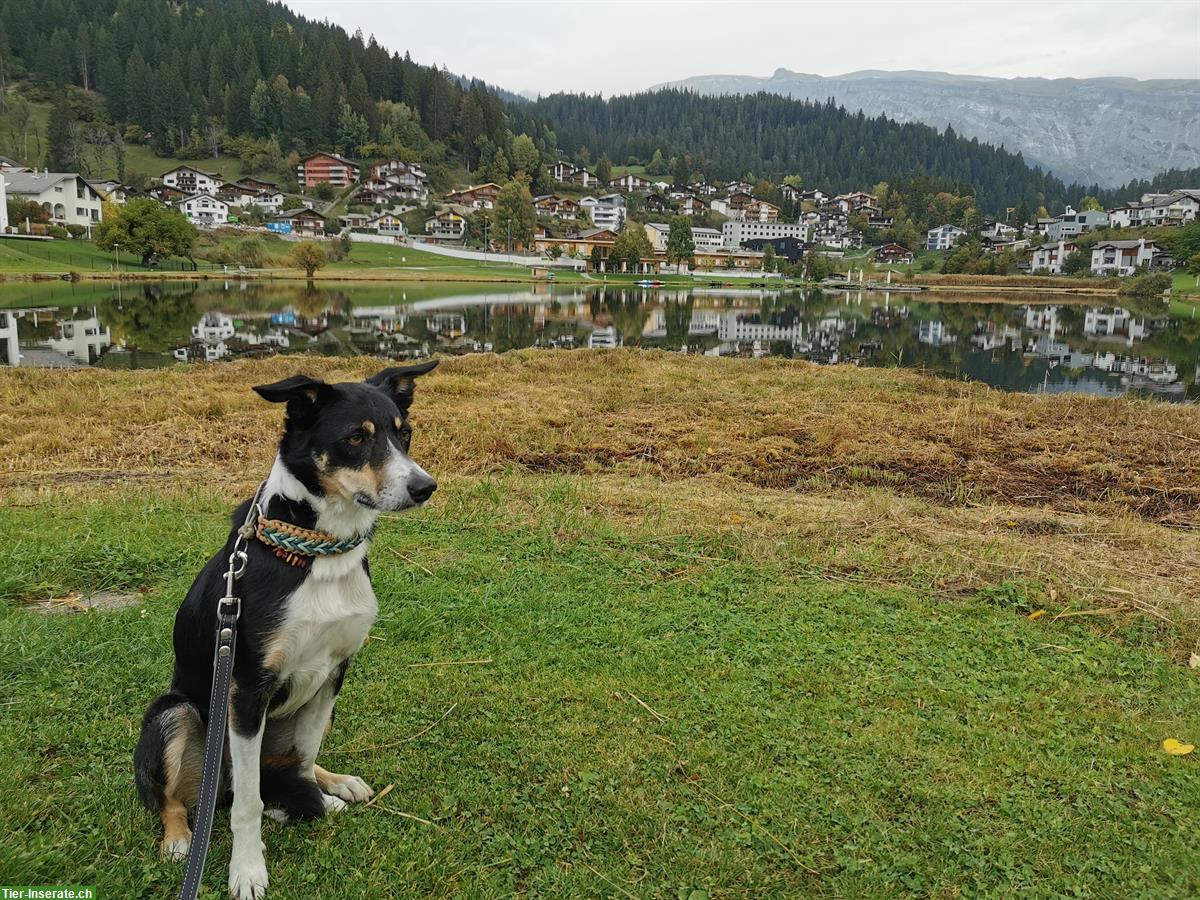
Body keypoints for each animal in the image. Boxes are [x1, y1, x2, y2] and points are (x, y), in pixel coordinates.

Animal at [133, 362, 441, 897]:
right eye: (355, 438)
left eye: (404, 434)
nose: (424, 487)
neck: (321, 551)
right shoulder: (246, 689)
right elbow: (249, 803)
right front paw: (247, 869)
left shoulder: (334, 673)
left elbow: (303, 754)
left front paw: (315, 792)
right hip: (175, 713)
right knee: (180, 797)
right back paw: (178, 838)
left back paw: (333, 782)